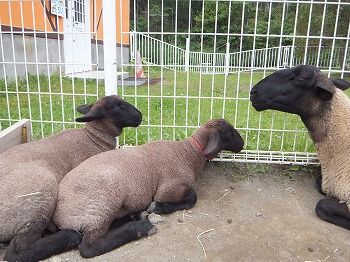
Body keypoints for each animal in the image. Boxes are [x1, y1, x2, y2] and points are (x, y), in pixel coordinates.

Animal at [0, 94, 142, 262]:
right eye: (115, 107)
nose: (140, 116)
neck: (93, 138)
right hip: (40, 193)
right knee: (17, 251)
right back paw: (70, 236)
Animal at [32, 118, 243, 260]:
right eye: (229, 133)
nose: (242, 144)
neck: (188, 154)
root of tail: (56, 215)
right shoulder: (169, 188)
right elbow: (192, 197)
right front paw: (158, 207)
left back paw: (137, 216)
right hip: (102, 202)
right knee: (89, 246)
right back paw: (141, 227)